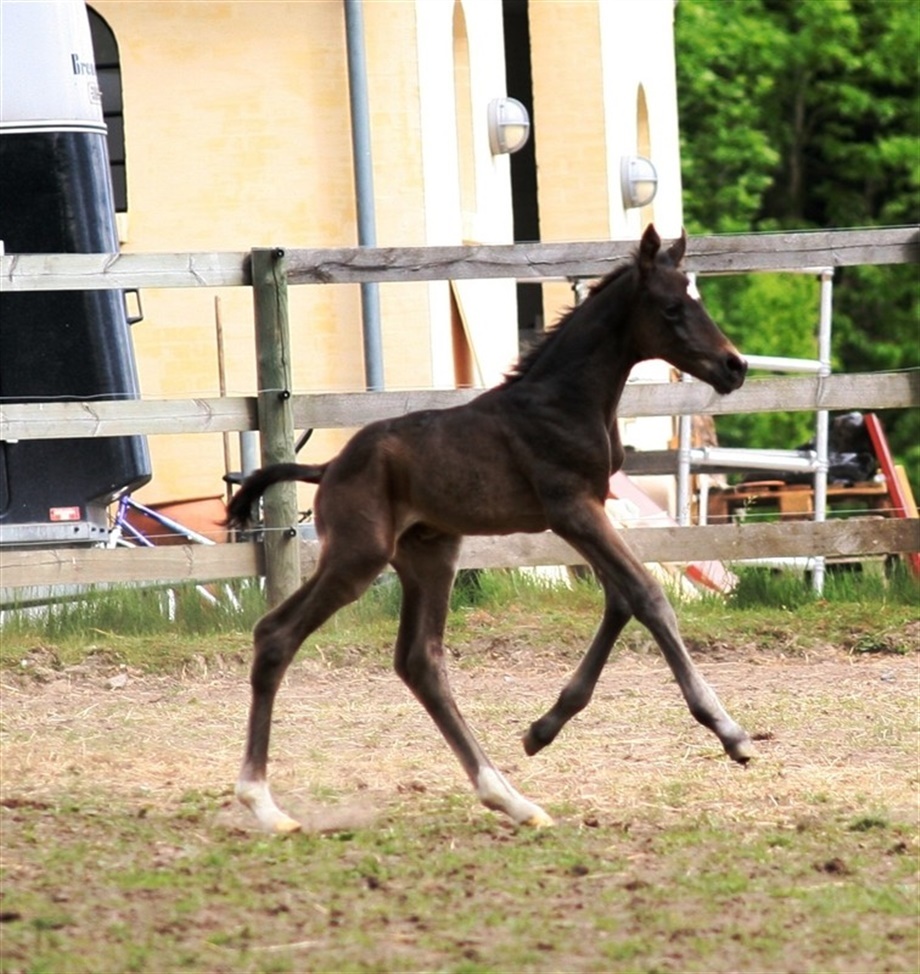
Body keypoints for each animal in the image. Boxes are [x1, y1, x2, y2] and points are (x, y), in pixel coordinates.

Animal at [226, 224, 754, 833]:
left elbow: (620, 601)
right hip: (358, 556)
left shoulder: (585, 513)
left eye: (699, 299)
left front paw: (542, 729)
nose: (734, 367)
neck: (564, 400)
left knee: (420, 660)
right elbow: (647, 596)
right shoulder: (572, 508)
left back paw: (509, 798)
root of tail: (329, 466)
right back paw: (263, 803)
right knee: (277, 635)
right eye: (672, 308)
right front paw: (730, 732)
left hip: (430, 554)